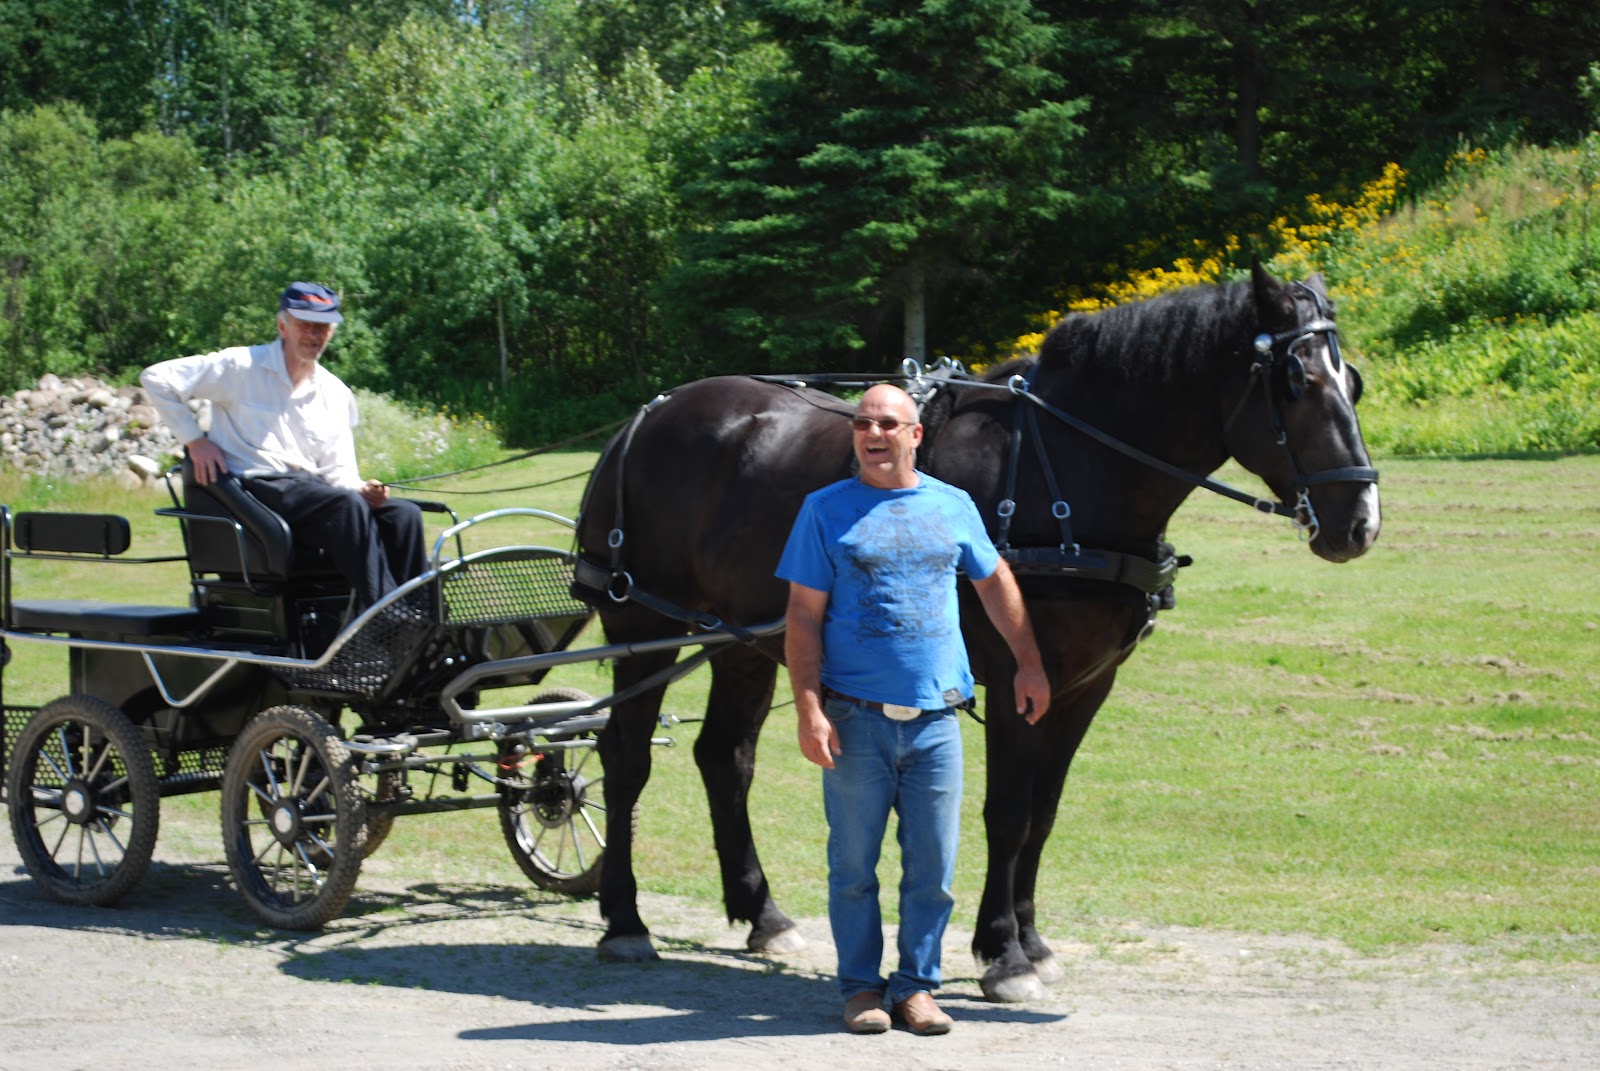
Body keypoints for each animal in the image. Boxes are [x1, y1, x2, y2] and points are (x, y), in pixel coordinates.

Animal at [570, 261, 1380, 1002]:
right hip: (643, 621)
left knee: (724, 758)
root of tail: (650, 414)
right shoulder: (1021, 675)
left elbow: (1043, 813)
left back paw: (763, 913)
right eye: (1298, 384)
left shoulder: (1084, 686)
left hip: (740, 640)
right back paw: (625, 921)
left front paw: (1029, 938)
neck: (1068, 472)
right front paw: (1004, 952)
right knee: (624, 760)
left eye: (1354, 381)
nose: (1361, 524)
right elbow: (1009, 812)